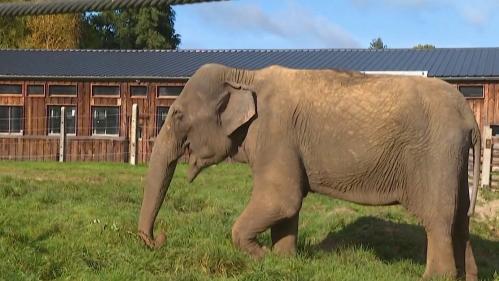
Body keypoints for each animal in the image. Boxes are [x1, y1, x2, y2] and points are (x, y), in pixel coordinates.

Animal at [137, 64, 480, 280]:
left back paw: (435, 277)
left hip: (436, 156)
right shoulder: (284, 144)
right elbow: (288, 206)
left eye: (178, 115)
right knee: (460, 220)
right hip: (454, 160)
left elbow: (282, 199)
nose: (160, 239)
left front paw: (262, 256)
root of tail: (470, 117)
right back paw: (467, 276)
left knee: (438, 220)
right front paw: (282, 261)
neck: (245, 75)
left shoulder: (276, 133)